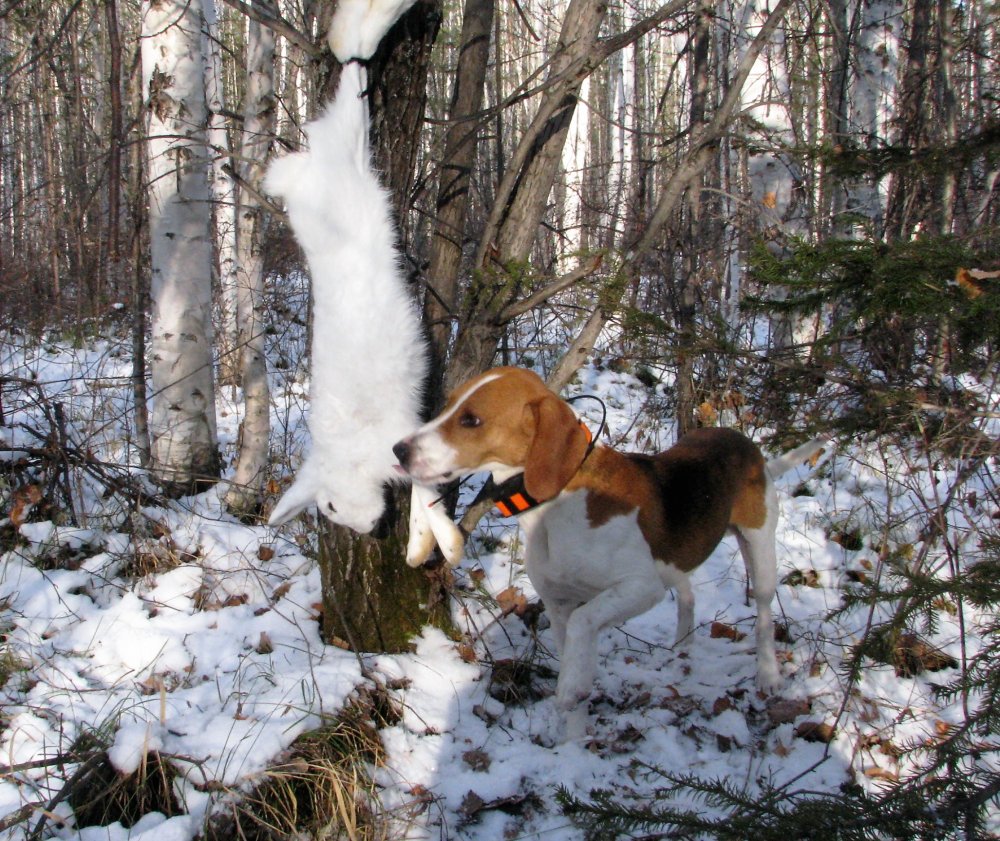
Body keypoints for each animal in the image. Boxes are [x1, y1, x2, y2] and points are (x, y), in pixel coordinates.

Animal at [393, 367, 829, 736]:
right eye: (448, 405)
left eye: (471, 420)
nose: (398, 449)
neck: (559, 502)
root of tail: (742, 441)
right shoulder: (559, 604)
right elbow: (574, 646)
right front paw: (572, 746)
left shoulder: (638, 589)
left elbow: (585, 623)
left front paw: (572, 687)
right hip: (675, 558)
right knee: (688, 593)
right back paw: (682, 648)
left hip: (759, 548)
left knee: (764, 614)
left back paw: (768, 675)